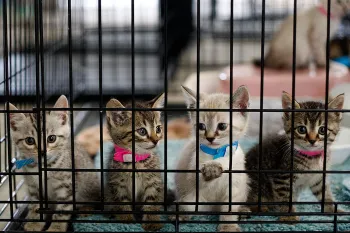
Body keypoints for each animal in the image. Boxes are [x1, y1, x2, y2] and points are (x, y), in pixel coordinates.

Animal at [9, 95, 100, 232]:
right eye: (30, 140)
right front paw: (35, 222)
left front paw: (56, 228)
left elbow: (62, 210)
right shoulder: (33, 187)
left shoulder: (66, 187)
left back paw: (86, 209)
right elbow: (35, 205)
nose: (42, 152)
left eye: (51, 138)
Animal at [104, 94, 165, 231]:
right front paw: (127, 220)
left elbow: (152, 201)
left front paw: (152, 222)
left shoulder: (154, 181)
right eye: (142, 131)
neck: (136, 159)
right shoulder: (117, 183)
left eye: (158, 129)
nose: (156, 141)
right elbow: (122, 202)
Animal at [174, 86, 250, 232]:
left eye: (222, 126)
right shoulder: (192, 174)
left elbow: (229, 210)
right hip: (190, 199)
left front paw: (228, 226)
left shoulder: (235, 186)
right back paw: (179, 215)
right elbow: (200, 177)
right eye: (201, 126)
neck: (217, 153)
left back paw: (243, 210)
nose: (209, 138)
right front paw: (211, 168)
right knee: (185, 205)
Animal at [245, 90, 346, 222]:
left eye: (322, 130)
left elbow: (325, 193)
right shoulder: (281, 177)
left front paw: (333, 210)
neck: (312, 158)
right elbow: (285, 197)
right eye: (302, 129)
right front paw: (289, 216)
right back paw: (260, 208)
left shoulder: (319, 178)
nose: (312, 140)